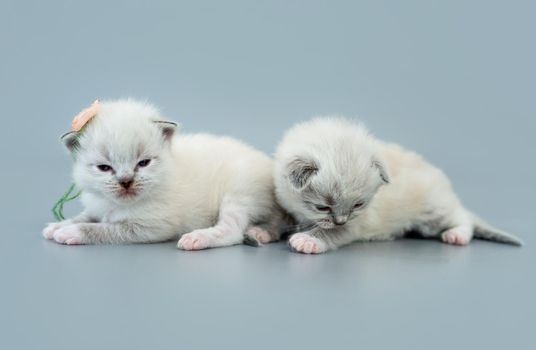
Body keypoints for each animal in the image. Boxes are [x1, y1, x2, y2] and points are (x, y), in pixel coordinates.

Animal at [42, 99, 280, 249]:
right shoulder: (97, 205)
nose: (126, 181)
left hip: (238, 195)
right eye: (104, 168)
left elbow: (105, 229)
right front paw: (58, 226)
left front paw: (71, 232)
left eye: (143, 163)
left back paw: (196, 238)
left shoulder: (151, 227)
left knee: (232, 231)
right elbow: (85, 216)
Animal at [276, 117, 524, 254]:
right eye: (323, 207)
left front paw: (308, 240)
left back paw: (457, 235)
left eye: (358, 205)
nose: (340, 220)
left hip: (433, 213)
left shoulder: (356, 224)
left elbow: (331, 233)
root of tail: (449, 194)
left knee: (463, 218)